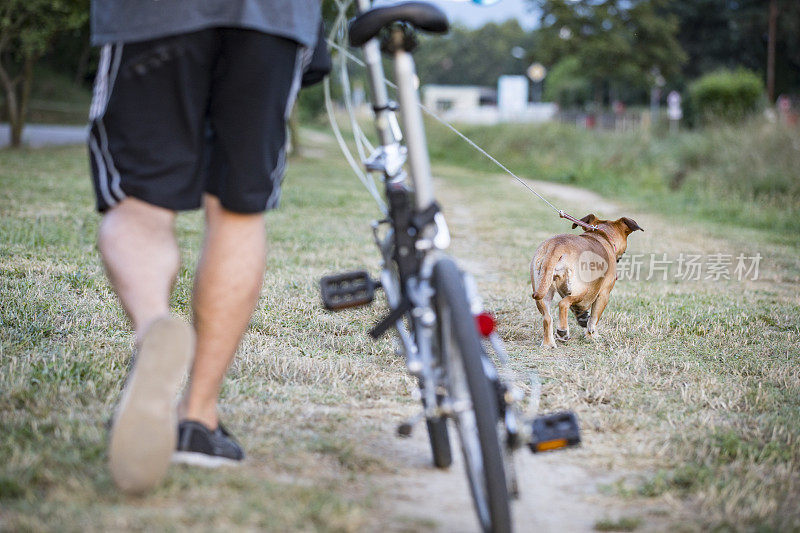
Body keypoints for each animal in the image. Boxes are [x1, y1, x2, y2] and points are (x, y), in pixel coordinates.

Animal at [532, 214, 644, 348]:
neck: (602, 235)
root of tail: (557, 246)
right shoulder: (603, 294)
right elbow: (594, 319)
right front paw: (592, 335)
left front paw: (583, 318)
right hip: (582, 289)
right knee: (563, 304)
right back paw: (562, 331)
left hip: (543, 292)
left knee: (547, 318)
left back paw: (548, 343)